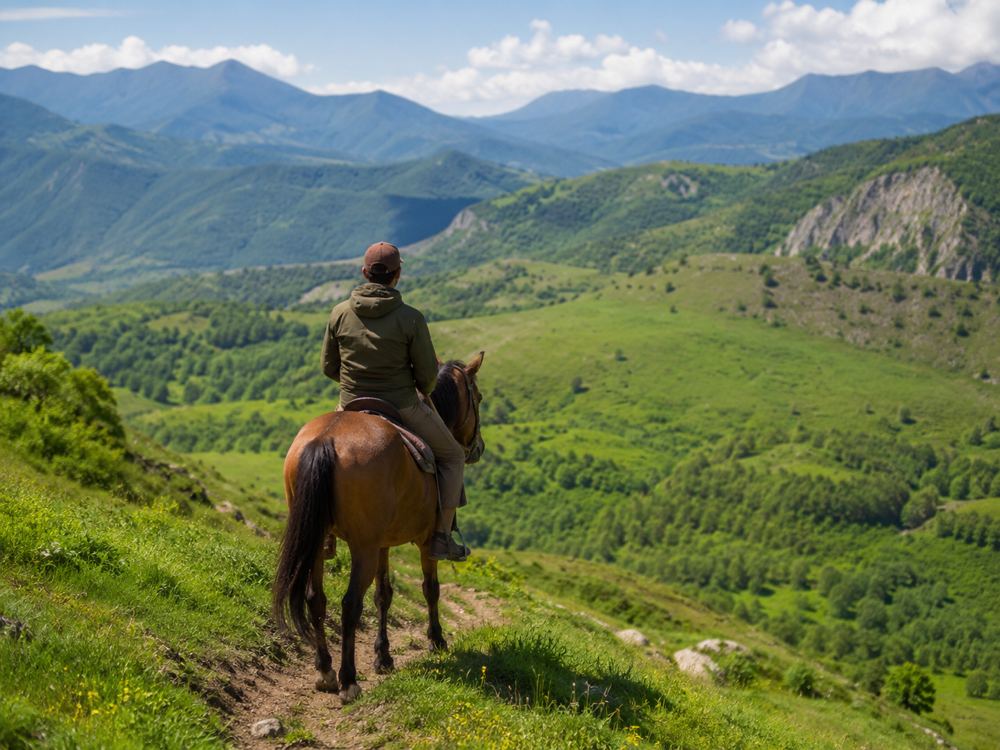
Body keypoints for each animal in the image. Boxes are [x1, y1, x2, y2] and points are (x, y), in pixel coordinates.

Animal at [272, 353, 485, 703]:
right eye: (478, 397)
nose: (478, 448)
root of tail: (325, 439)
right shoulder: (425, 542)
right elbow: (431, 589)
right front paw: (436, 640)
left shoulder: (383, 542)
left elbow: (383, 594)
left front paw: (383, 656)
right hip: (363, 549)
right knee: (349, 604)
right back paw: (348, 680)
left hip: (320, 542)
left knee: (316, 598)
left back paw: (325, 670)